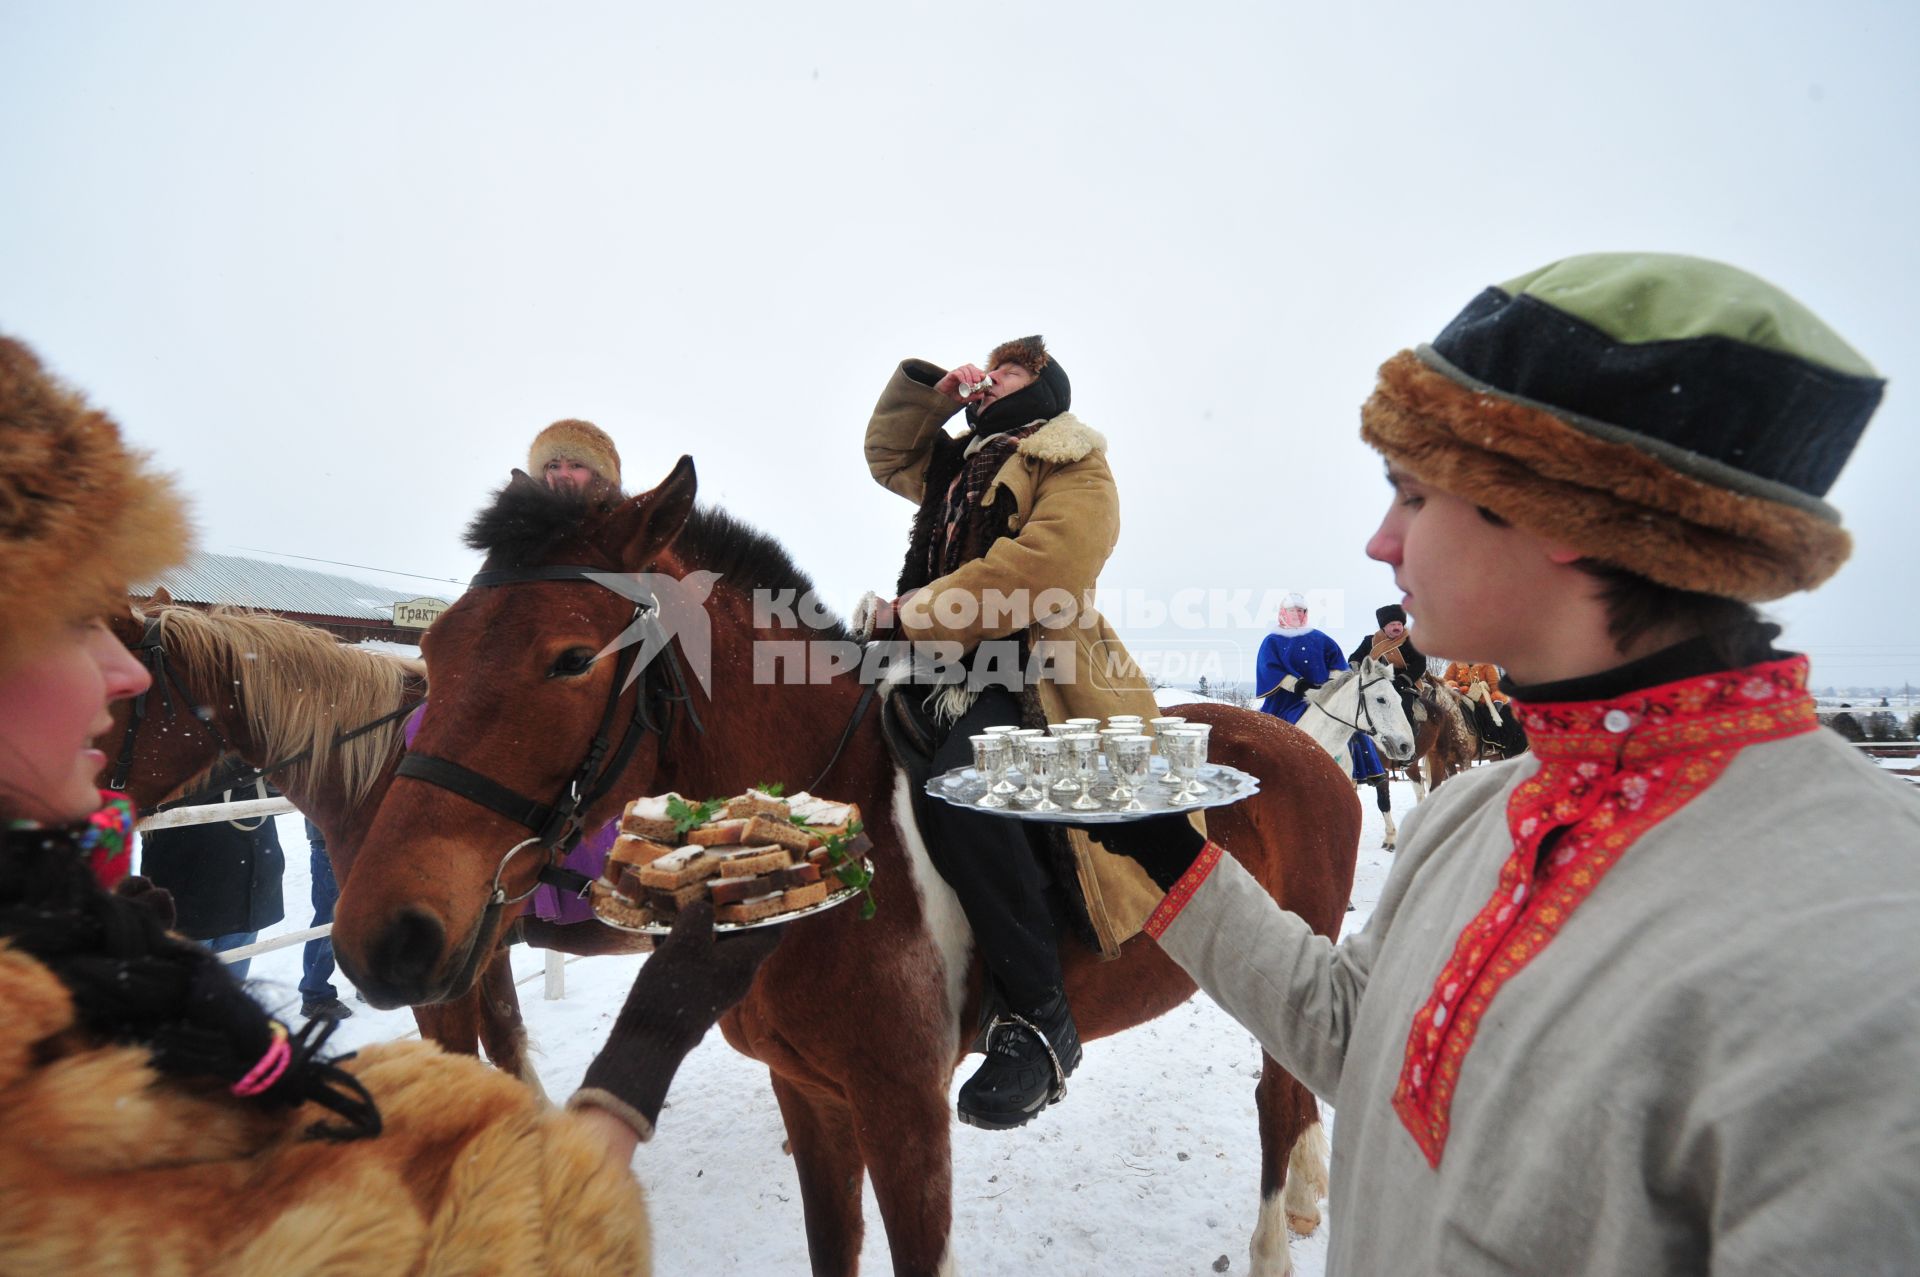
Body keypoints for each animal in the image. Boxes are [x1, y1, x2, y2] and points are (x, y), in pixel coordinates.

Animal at [330, 462, 1359, 1275]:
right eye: (433, 649)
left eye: (572, 658)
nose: (384, 935)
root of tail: (1307, 752)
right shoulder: (812, 1097)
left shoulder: (904, 1113)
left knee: (1277, 1103)